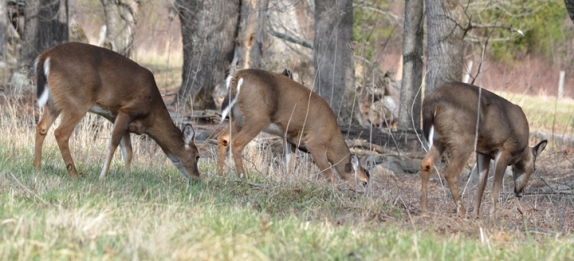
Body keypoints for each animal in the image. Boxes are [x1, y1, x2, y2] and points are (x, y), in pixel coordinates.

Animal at [33, 42, 201, 180]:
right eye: (197, 156)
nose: (197, 178)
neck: (150, 116)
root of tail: (45, 57)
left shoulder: (118, 118)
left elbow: (128, 151)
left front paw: (127, 177)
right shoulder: (127, 110)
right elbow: (113, 145)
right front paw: (103, 177)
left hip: (54, 101)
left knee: (41, 127)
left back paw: (37, 167)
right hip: (77, 102)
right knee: (61, 133)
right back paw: (74, 174)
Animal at [218, 67, 372, 185]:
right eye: (364, 182)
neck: (332, 136)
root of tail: (237, 76)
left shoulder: (289, 139)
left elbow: (289, 167)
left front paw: (289, 183)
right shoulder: (316, 142)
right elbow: (328, 172)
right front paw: (334, 192)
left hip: (237, 116)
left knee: (223, 137)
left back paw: (219, 173)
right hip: (257, 117)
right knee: (237, 143)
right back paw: (242, 176)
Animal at [424, 80, 548, 217]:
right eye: (534, 168)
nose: (520, 193)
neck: (520, 153)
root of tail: (432, 103)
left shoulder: (484, 152)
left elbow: (482, 183)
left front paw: (476, 215)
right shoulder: (506, 149)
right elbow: (496, 185)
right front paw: (491, 218)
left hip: (438, 139)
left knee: (426, 163)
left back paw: (424, 208)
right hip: (462, 140)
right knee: (450, 174)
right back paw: (462, 213)